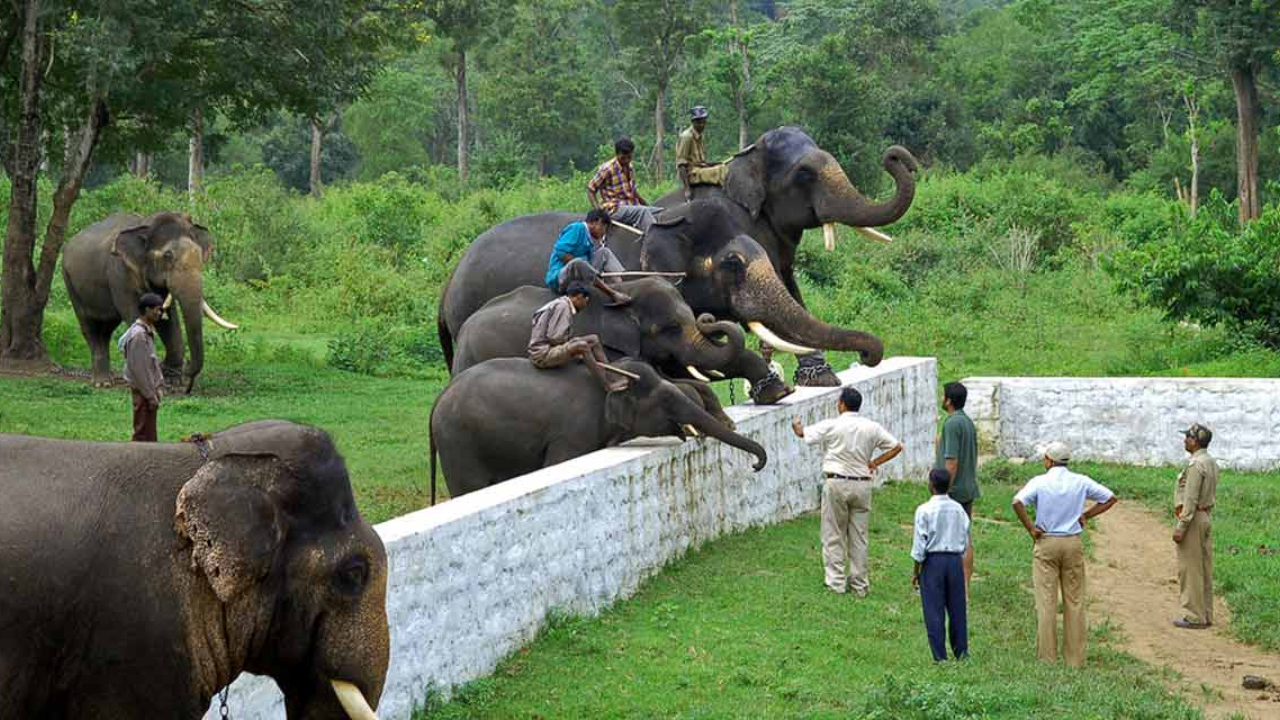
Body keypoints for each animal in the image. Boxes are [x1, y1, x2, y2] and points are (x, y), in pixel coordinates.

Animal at [61, 210, 241, 392]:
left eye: (199, 253)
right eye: (168, 255)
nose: (188, 376)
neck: (146, 224)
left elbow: (169, 319)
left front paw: (172, 381)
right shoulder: (119, 273)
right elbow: (135, 315)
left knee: (106, 330)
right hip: (69, 282)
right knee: (89, 328)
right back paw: (102, 382)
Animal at [430, 353, 768, 499]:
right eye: (666, 401)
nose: (754, 466)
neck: (612, 377)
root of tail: (437, 401)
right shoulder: (571, 433)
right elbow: (557, 463)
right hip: (458, 442)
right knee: (469, 487)